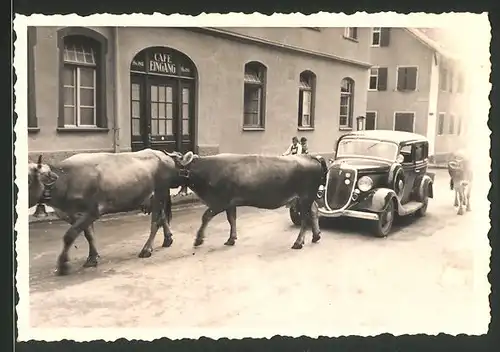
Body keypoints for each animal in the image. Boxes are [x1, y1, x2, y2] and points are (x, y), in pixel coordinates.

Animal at [27, 148, 184, 276]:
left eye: (28, 180)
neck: (66, 179)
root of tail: (162, 154)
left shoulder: (92, 210)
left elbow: (69, 235)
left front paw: (63, 265)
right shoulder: (74, 215)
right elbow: (89, 235)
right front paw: (92, 257)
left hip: (159, 194)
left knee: (155, 222)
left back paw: (146, 249)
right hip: (153, 199)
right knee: (162, 217)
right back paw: (168, 239)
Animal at [170, 153, 330, 249]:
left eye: (172, 165)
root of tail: (311, 157)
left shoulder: (220, 202)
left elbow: (205, 216)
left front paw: (199, 239)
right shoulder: (230, 203)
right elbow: (232, 219)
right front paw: (231, 239)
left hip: (305, 196)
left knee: (305, 218)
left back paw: (298, 242)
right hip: (307, 198)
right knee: (314, 211)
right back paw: (316, 236)